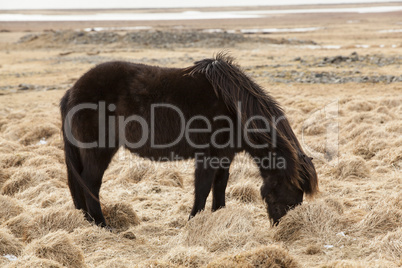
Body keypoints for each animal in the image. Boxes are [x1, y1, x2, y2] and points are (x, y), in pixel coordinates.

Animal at [59, 52, 318, 228]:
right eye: (291, 195)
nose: (282, 229)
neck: (234, 107)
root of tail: (72, 91)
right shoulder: (207, 156)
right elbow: (202, 188)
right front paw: (194, 220)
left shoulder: (224, 156)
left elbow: (220, 186)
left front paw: (218, 216)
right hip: (99, 150)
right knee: (90, 182)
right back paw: (102, 224)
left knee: (77, 184)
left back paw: (85, 220)